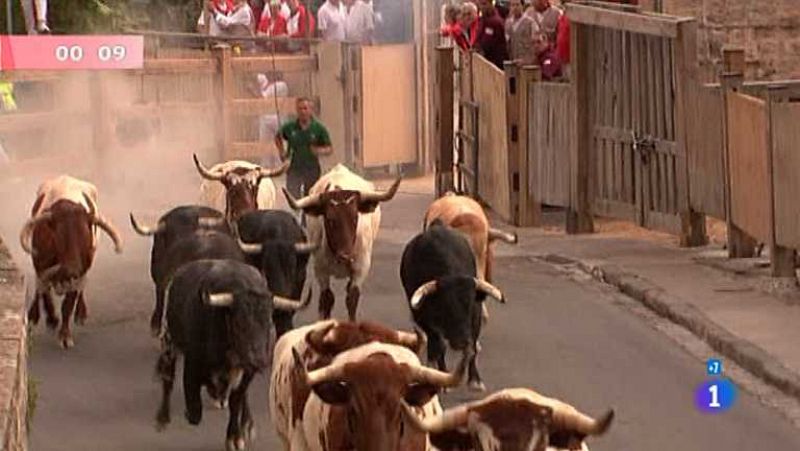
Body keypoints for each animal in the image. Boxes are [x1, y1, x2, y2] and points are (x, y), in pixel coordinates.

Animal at [19, 175, 123, 348]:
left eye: (85, 235)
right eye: (59, 236)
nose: (72, 269)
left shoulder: (79, 273)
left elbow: (68, 304)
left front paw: (65, 336)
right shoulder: (40, 266)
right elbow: (43, 291)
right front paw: (50, 319)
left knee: (80, 290)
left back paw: (81, 314)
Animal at [284, 164, 404, 324]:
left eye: (355, 218)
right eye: (330, 220)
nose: (346, 255)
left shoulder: (361, 268)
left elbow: (352, 298)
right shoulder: (320, 270)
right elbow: (327, 298)